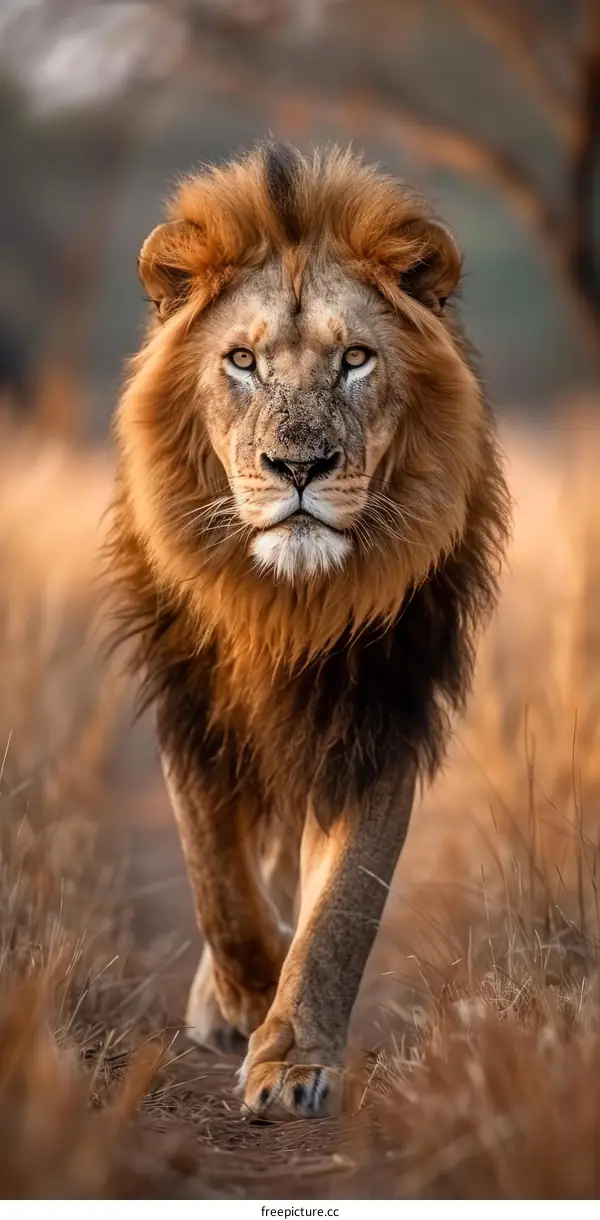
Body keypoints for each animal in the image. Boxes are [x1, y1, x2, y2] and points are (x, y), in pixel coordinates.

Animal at [108, 142, 510, 1120]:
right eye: (242, 360)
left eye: (357, 358)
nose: (299, 467)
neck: (288, 607)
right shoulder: (192, 705)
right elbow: (217, 878)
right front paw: (246, 997)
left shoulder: (379, 712)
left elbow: (341, 910)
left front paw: (291, 1057)